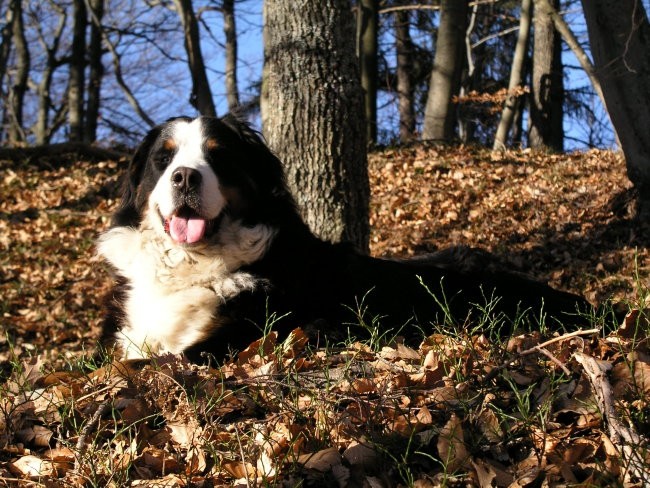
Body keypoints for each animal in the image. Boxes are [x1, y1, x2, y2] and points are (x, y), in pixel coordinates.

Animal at [95, 115, 592, 362]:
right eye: (163, 159)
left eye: (218, 158)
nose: (184, 177)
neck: (194, 265)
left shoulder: (238, 338)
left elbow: (145, 365)